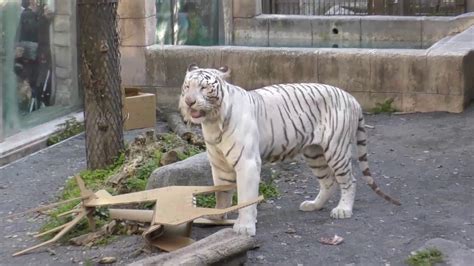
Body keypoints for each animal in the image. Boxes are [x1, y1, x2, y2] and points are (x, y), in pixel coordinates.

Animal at [180, 65, 402, 236]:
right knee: (328, 181)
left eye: (204, 87)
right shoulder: (219, 165)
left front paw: (244, 227)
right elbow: (222, 194)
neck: (212, 121)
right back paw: (314, 205)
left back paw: (343, 209)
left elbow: (246, 198)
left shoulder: (248, 163)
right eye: (187, 86)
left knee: (349, 180)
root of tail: (352, 98)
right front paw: (216, 217)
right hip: (314, 152)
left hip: (336, 150)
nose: (189, 101)